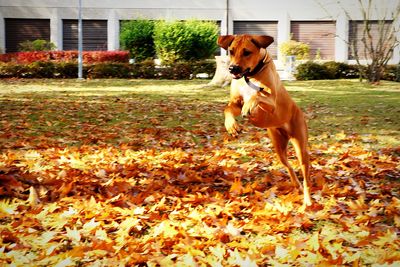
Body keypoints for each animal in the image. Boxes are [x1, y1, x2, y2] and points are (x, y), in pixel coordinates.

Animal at [217, 34, 310, 207]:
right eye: (231, 51)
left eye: (246, 52)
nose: (232, 68)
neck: (250, 76)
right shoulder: (236, 102)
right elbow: (228, 108)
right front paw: (232, 126)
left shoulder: (271, 102)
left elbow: (257, 96)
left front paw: (250, 106)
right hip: (279, 148)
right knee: (289, 166)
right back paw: (296, 184)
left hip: (301, 146)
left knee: (306, 177)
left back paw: (307, 200)